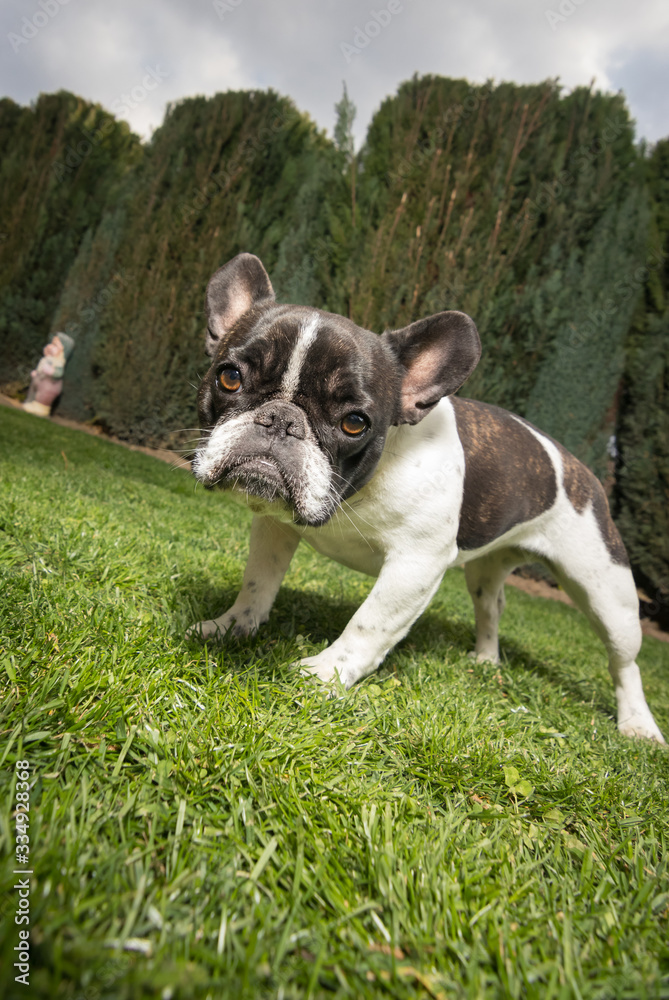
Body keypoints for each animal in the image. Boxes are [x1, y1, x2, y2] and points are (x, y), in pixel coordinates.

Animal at [188, 252, 664, 744]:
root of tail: (581, 469)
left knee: (625, 663)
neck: (355, 494)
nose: (280, 420)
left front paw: (324, 674)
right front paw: (232, 626)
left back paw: (638, 724)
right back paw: (485, 660)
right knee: (491, 607)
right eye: (229, 377)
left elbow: (370, 622)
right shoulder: (274, 527)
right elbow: (258, 583)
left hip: (608, 594)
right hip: (487, 571)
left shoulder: (416, 564)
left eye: (355, 423)